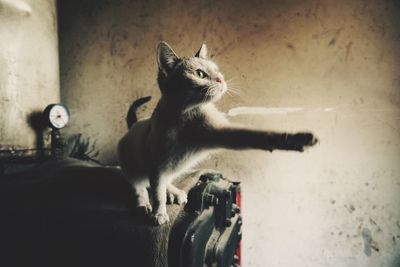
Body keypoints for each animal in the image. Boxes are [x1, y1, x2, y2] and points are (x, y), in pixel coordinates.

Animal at [117, 42, 318, 226]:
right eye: (200, 74)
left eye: (217, 71)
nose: (221, 79)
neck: (185, 116)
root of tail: (133, 126)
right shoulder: (157, 165)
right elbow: (157, 194)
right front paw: (159, 214)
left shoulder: (221, 134)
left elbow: (258, 136)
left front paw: (294, 139)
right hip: (134, 168)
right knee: (140, 187)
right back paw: (144, 205)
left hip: (174, 166)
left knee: (164, 181)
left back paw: (173, 192)